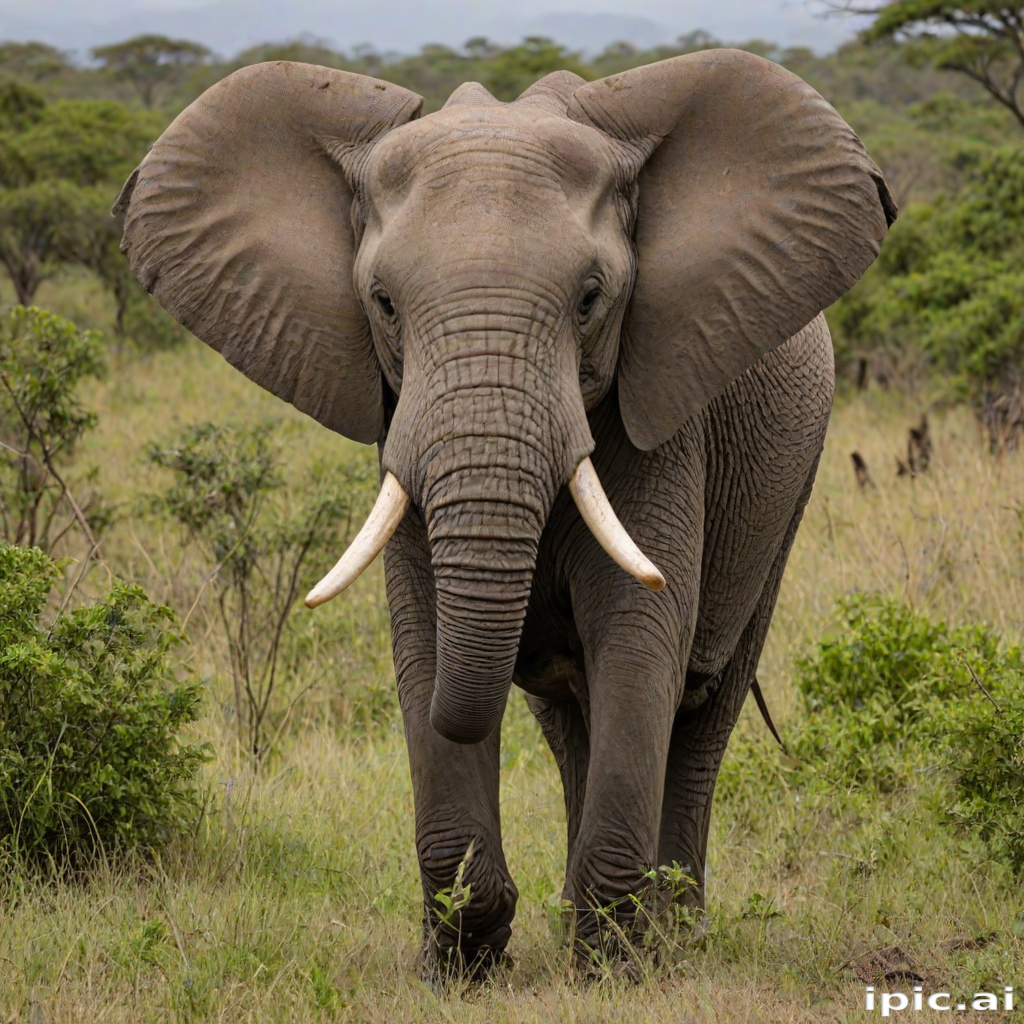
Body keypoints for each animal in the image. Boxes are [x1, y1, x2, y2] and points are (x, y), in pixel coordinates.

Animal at [114, 49, 896, 977]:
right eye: (382, 303)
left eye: (591, 298)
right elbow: (423, 639)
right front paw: (462, 963)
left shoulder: (665, 423)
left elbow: (639, 637)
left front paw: (612, 967)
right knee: (569, 721)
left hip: (791, 484)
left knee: (704, 706)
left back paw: (672, 935)